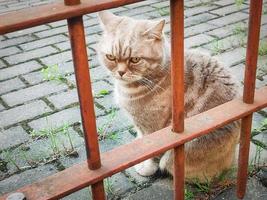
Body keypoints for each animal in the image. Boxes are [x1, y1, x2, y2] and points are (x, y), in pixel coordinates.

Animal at [97, 10, 242, 183]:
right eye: (111, 57)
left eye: (135, 59)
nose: (120, 72)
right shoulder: (140, 127)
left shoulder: (153, 130)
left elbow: (152, 154)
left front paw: (146, 168)